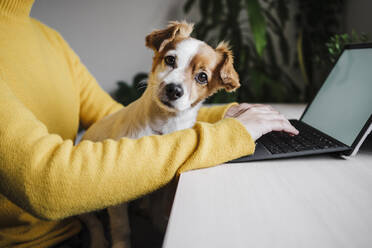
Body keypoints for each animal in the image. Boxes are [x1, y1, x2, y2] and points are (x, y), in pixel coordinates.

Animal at [80, 20, 240, 248]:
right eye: (170, 59)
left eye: (202, 77)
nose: (174, 90)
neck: (163, 126)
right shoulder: (116, 199)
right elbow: (121, 228)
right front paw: (121, 243)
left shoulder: (163, 189)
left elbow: (158, 212)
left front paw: (160, 225)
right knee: (92, 221)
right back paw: (98, 240)